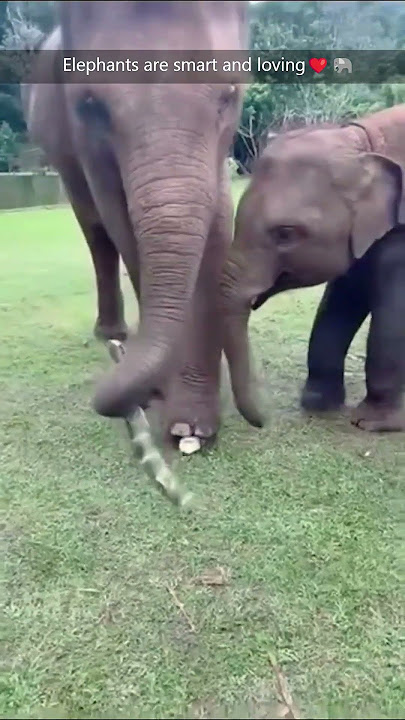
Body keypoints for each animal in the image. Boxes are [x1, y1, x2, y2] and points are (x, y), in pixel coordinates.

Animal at [23, 0, 248, 451]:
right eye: (91, 104)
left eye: (229, 94)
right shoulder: (85, 140)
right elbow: (120, 222)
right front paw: (172, 407)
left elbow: (217, 222)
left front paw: (193, 425)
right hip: (63, 159)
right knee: (95, 230)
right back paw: (113, 332)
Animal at [221, 105, 405, 432]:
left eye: (285, 233)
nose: (265, 420)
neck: (363, 142)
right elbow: (342, 298)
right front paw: (318, 403)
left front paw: (370, 422)